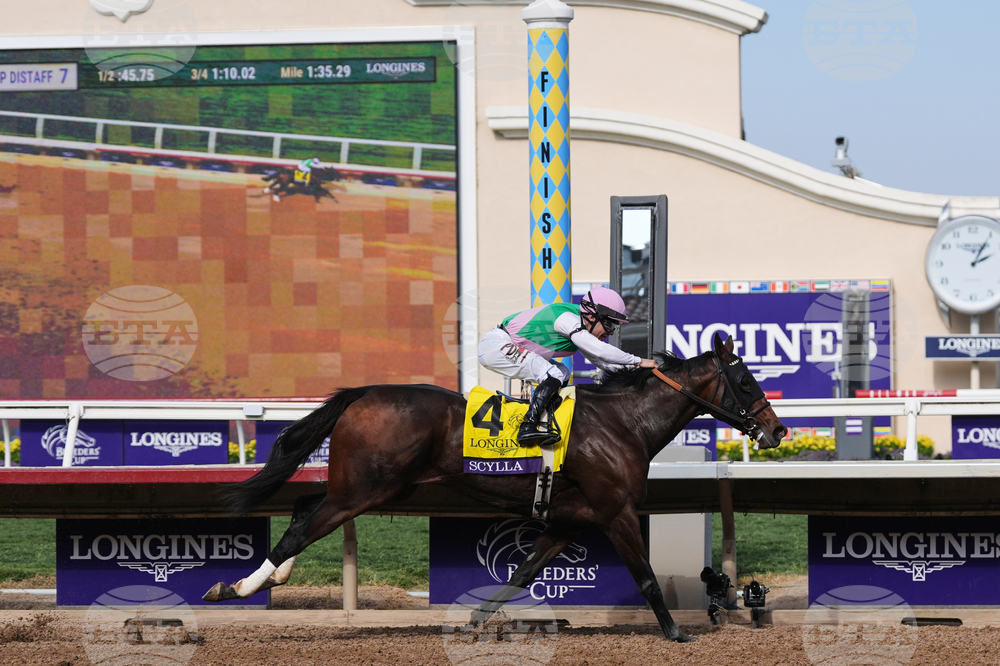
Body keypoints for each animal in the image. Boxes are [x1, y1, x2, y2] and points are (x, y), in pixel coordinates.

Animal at [203, 333, 786, 642]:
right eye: (747, 382)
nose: (778, 431)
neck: (625, 423)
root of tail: (363, 393)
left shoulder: (567, 520)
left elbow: (523, 572)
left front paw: (477, 619)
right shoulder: (615, 512)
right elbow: (644, 577)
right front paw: (676, 632)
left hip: (371, 488)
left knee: (304, 506)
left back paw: (267, 579)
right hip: (363, 491)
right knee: (301, 527)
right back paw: (238, 588)